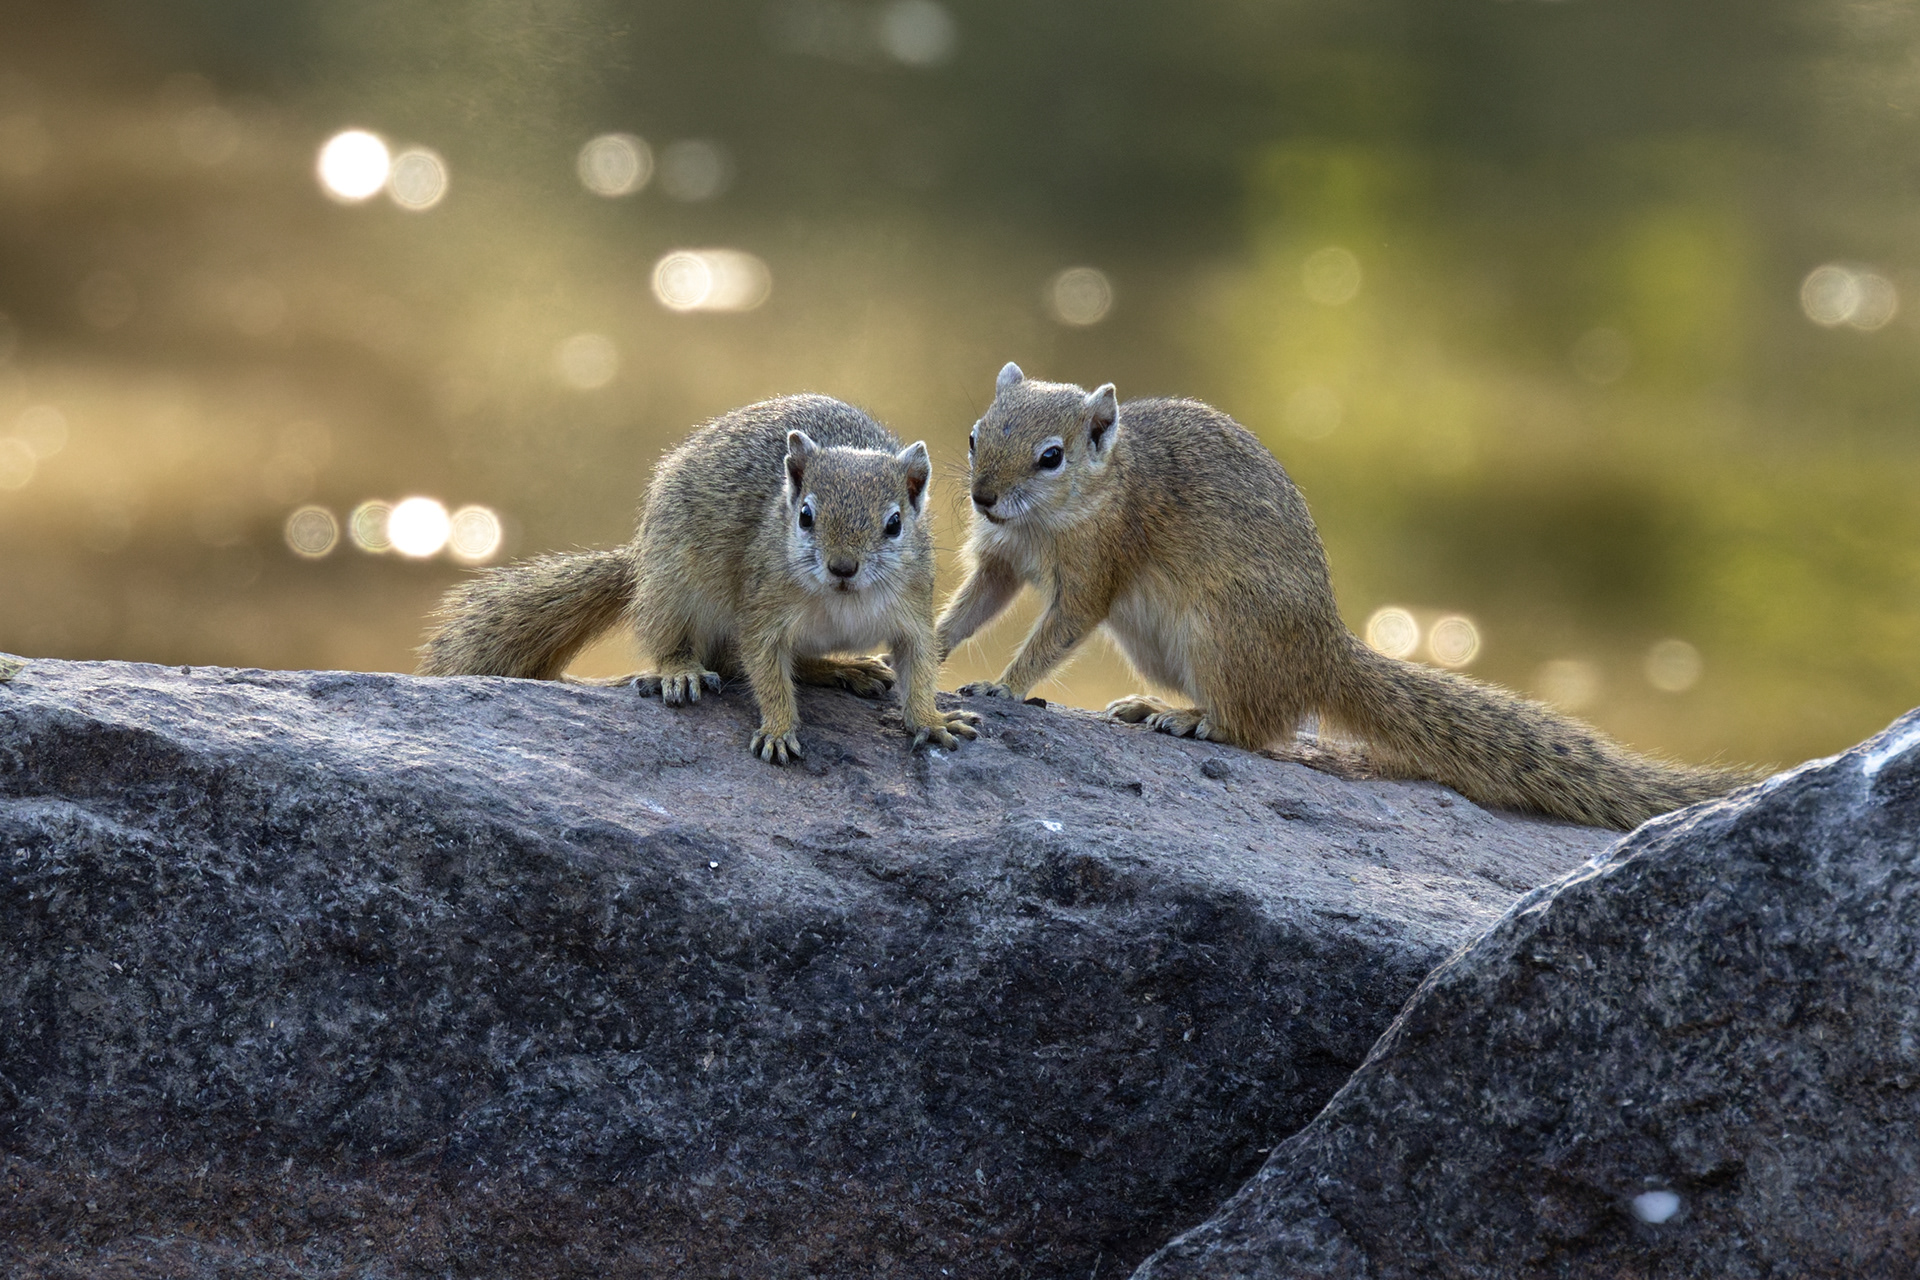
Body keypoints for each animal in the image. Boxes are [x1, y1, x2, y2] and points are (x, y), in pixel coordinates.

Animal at [419, 394, 980, 764]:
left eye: (895, 524)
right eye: (804, 516)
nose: (843, 567)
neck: (843, 601)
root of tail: (641, 559)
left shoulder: (913, 615)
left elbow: (919, 669)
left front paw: (932, 720)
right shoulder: (762, 613)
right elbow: (765, 673)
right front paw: (778, 729)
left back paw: (846, 668)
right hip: (674, 588)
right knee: (698, 650)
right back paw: (681, 671)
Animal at [935, 362, 1761, 829]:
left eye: (1051, 457)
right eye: (976, 435)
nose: (981, 498)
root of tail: (1326, 655)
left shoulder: (1096, 568)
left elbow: (1057, 632)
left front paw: (1005, 686)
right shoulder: (1000, 561)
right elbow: (971, 606)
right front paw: (931, 651)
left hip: (1220, 634)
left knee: (1254, 727)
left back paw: (1188, 719)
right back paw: (1151, 706)